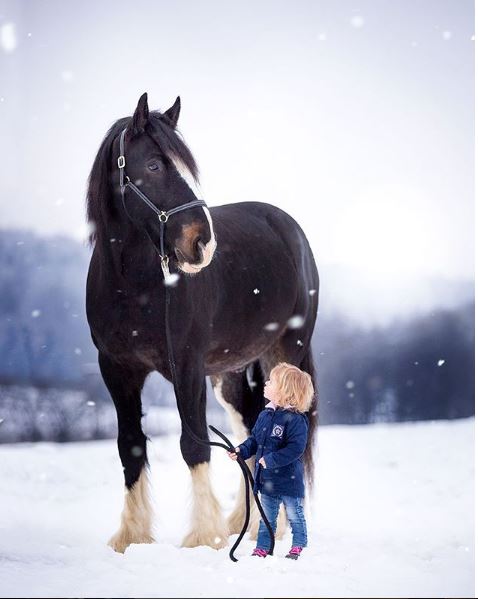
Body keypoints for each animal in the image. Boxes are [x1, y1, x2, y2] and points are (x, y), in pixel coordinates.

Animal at [87, 92, 318, 552]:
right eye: (153, 165)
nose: (202, 243)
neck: (133, 288)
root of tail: (288, 226)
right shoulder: (116, 369)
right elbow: (130, 446)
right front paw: (131, 537)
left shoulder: (187, 367)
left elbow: (194, 444)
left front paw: (202, 538)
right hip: (232, 375)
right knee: (253, 429)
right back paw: (247, 522)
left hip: (285, 356)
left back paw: (276, 527)